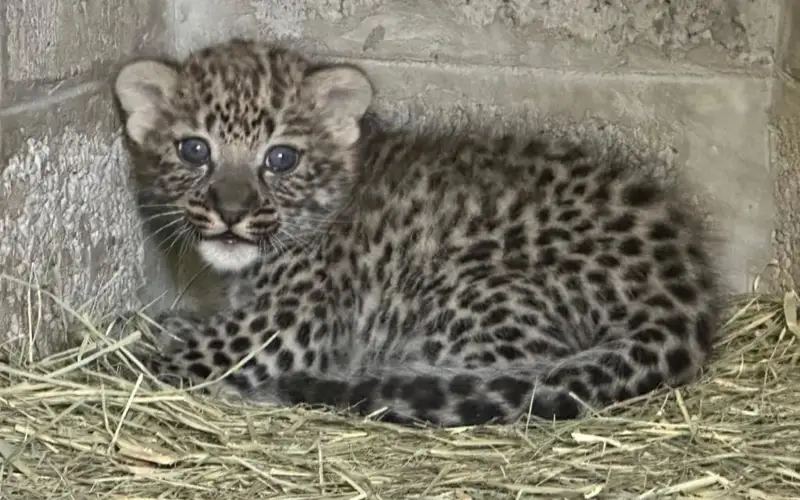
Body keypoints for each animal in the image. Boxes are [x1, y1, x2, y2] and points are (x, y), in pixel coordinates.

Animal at [111, 39, 720, 426]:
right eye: (195, 150)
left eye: (281, 159)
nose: (232, 214)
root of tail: (682, 289)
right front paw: (168, 325)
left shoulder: (291, 322)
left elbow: (193, 356)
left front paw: (126, 362)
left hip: (463, 289)